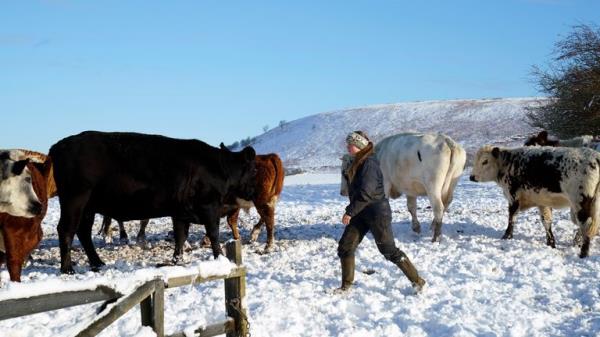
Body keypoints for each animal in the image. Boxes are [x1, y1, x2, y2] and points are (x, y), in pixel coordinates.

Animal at [50, 131, 256, 272]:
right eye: (254, 169)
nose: (253, 192)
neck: (220, 168)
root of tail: (60, 145)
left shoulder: (180, 212)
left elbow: (181, 236)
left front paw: (176, 261)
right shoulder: (209, 206)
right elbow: (213, 234)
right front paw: (220, 258)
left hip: (88, 207)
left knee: (83, 232)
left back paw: (97, 263)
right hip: (75, 200)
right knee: (66, 230)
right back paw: (67, 269)